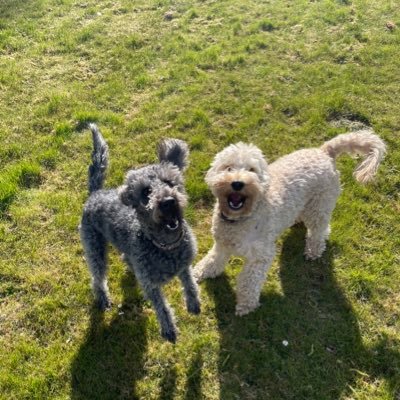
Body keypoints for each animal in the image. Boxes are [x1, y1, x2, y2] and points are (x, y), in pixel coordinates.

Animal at [80, 123, 200, 342]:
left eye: (170, 182)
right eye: (146, 192)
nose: (168, 202)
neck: (166, 245)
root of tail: (95, 193)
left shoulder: (184, 265)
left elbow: (190, 283)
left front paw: (193, 302)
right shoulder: (150, 285)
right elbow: (162, 307)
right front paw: (169, 328)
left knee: (124, 257)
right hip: (94, 250)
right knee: (97, 277)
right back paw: (102, 297)